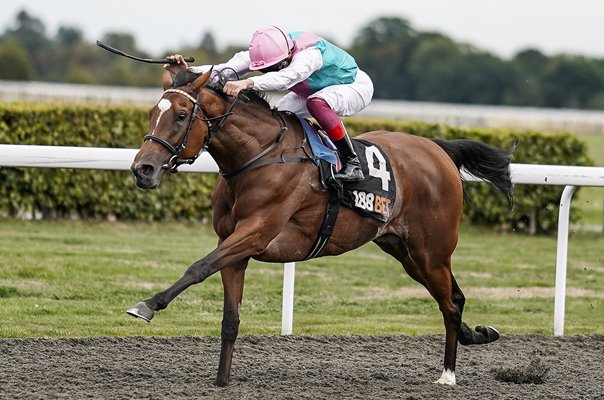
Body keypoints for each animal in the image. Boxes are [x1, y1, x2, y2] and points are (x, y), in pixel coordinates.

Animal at [129, 69, 516, 388]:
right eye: (151, 113)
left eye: (181, 115)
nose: (142, 169)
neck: (258, 156)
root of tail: (438, 150)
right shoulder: (233, 245)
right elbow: (230, 317)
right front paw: (222, 380)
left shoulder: (255, 234)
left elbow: (198, 267)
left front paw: (147, 305)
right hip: (405, 251)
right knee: (455, 297)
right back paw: (479, 334)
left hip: (431, 251)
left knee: (448, 305)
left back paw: (448, 374)